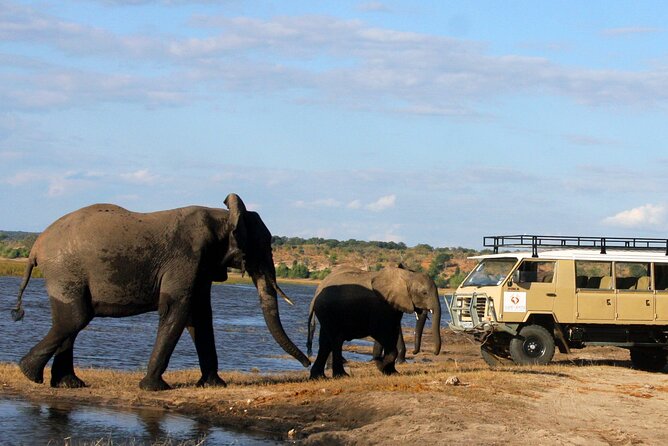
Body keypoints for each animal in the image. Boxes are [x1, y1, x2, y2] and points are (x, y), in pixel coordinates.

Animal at [12, 193, 310, 388]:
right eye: (264, 245)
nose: (307, 364)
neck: (223, 216)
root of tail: (35, 247)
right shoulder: (186, 257)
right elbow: (177, 309)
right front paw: (154, 388)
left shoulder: (202, 264)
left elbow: (200, 315)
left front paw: (214, 385)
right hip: (65, 269)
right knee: (75, 317)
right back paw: (31, 374)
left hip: (64, 272)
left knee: (68, 320)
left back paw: (68, 383)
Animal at [308, 266, 444, 378]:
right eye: (424, 293)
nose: (434, 353)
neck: (406, 275)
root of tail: (317, 291)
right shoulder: (381, 306)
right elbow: (382, 333)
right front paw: (380, 365)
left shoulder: (393, 306)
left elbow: (393, 331)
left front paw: (392, 372)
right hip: (329, 311)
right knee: (336, 340)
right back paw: (341, 375)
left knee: (325, 342)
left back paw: (319, 377)